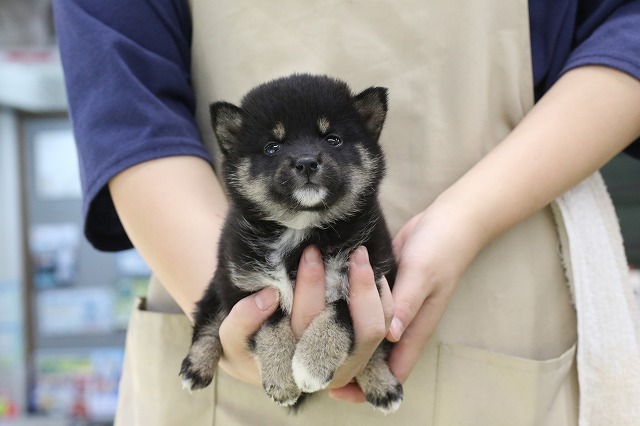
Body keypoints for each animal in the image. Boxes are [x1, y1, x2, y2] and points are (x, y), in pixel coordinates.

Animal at [178, 73, 402, 412]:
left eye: (332, 139)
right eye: (272, 147)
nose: (306, 162)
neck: (301, 229)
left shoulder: (371, 278)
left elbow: (340, 314)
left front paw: (312, 363)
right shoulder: (245, 288)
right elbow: (270, 324)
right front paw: (282, 377)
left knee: (376, 350)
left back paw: (381, 381)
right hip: (218, 282)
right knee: (207, 321)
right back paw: (196, 365)